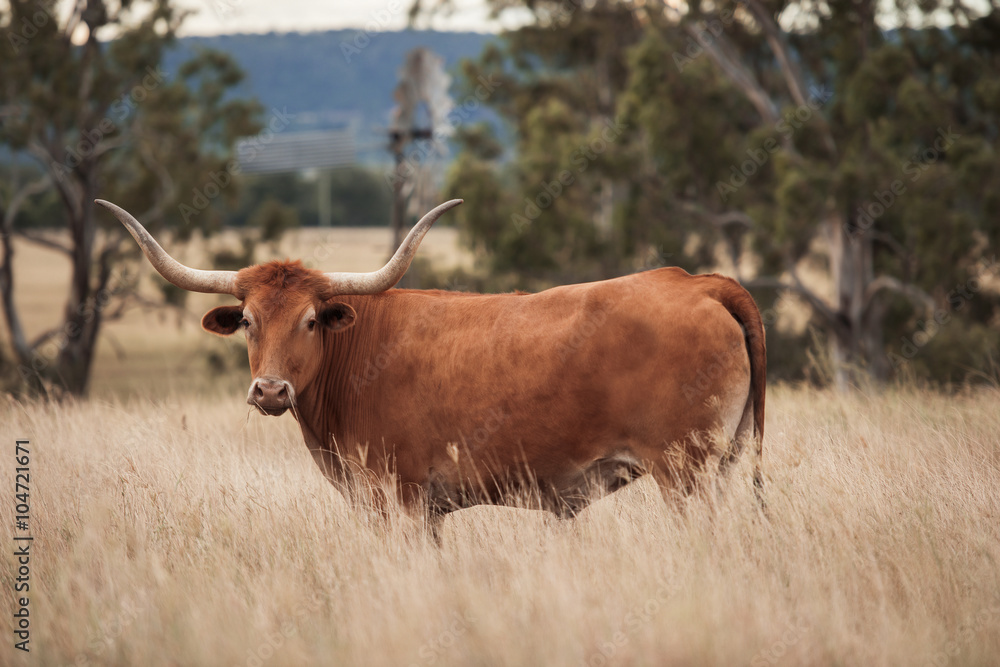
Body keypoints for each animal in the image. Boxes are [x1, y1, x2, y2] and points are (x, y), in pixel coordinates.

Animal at [95, 198, 764, 528]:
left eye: (310, 320)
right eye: (250, 321)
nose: (270, 391)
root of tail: (699, 283)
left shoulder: (402, 500)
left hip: (685, 475)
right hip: (725, 465)